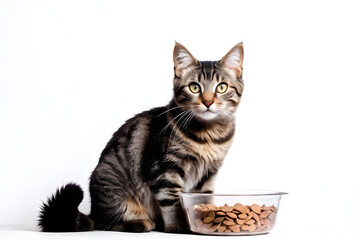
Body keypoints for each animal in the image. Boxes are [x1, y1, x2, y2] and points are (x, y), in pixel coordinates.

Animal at [38, 42, 243, 233]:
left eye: (222, 87)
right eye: (194, 88)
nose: (208, 102)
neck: (209, 135)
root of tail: (93, 211)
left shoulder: (208, 174)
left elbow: (201, 198)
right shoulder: (165, 169)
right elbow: (172, 203)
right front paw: (178, 225)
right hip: (113, 189)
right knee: (106, 224)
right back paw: (140, 223)